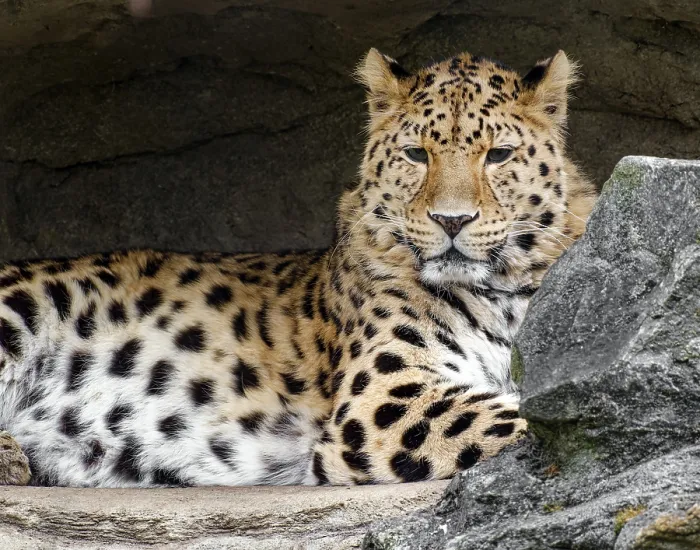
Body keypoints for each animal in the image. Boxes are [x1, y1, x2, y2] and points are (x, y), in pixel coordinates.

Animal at [0, 48, 598, 487]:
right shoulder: (383, 397)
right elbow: (518, 416)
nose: (452, 220)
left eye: (498, 155)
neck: (502, 289)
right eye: (416, 154)